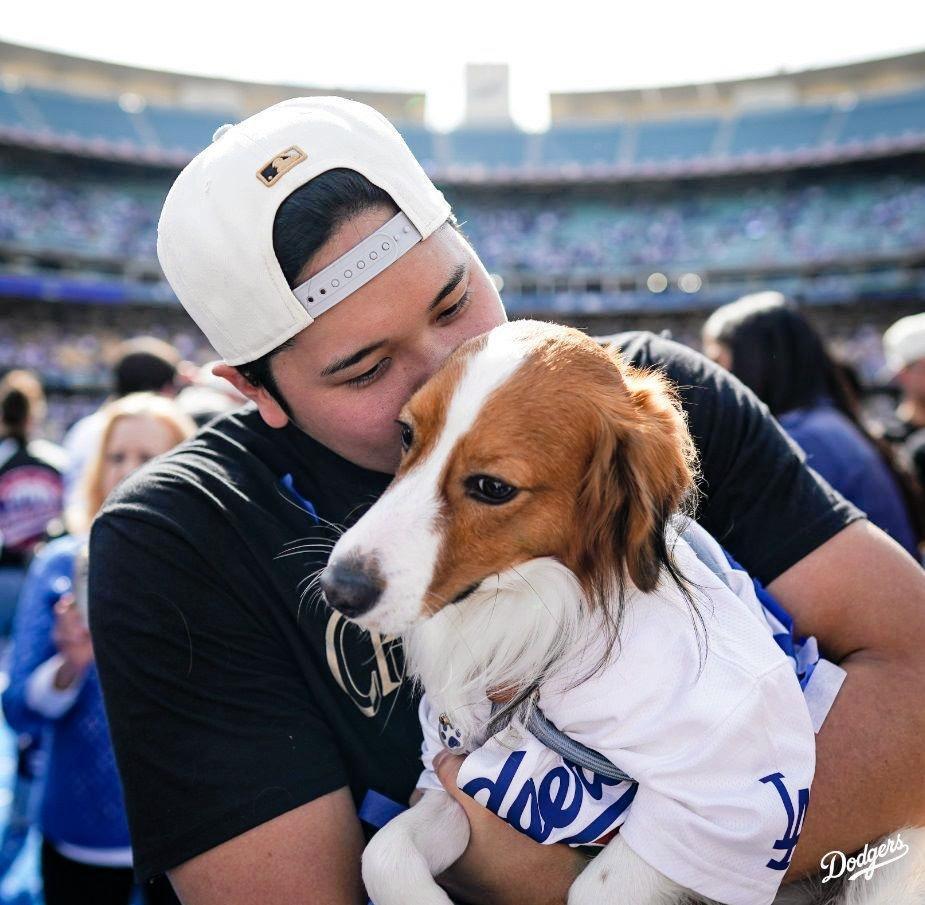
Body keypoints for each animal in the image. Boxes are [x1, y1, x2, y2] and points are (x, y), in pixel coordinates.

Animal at [320, 320, 924, 904]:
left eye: (492, 487)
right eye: (406, 435)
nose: (337, 588)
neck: (541, 608)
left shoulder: (735, 792)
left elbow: (598, 886)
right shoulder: (460, 774)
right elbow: (384, 853)